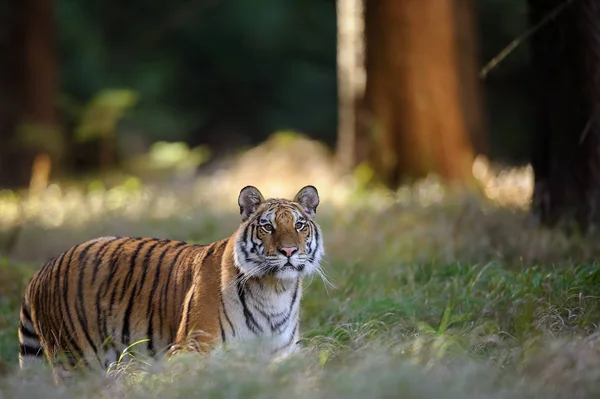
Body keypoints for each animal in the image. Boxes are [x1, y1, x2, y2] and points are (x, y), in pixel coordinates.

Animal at [17, 186, 324, 380]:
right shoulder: (191, 349)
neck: (274, 290)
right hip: (77, 360)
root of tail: (42, 270)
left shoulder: (283, 355)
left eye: (299, 225)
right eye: (267, 227)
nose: (288, 251)